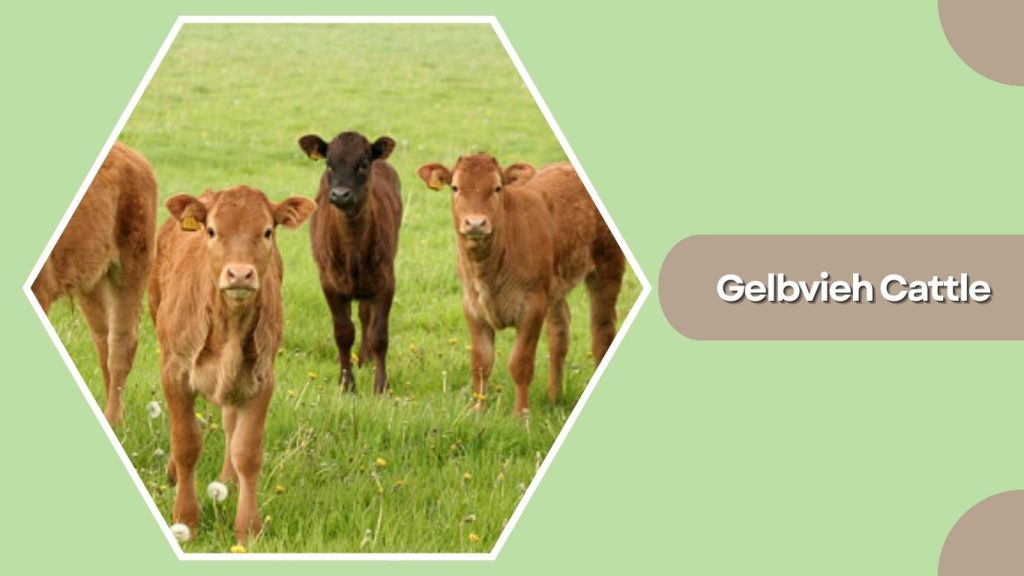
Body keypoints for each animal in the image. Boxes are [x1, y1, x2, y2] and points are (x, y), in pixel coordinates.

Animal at [148, 185, 315, 543]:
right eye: (212, 231)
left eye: (267, 232)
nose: (240, 273)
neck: (228, 324)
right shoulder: (175, 372)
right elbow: (186, 444)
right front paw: (186, 519)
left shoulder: (261, 379)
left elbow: (247, 452)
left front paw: (248, 529)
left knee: (229, 423)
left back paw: (227, 480)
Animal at [298, 131, 402, 394]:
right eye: (329, 164)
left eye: (363, 165)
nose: (340, 194)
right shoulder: (329, 283)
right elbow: (343, 333)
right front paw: (346, 383)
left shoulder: (386, 281)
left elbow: (379, 335)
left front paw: (381, 385)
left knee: (366, 316)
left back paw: (365, 358)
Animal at [417, 154, 625, 415]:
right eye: (455, 187)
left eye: (497, 188)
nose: (475, 223)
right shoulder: (472, 306)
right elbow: (481, 364)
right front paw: (478, 411)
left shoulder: (532, 306)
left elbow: (520, 364)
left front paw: (521, 415)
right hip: (554, 286)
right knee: (559, 333)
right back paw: (553, 397)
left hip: (608, 267)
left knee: (602, 333)